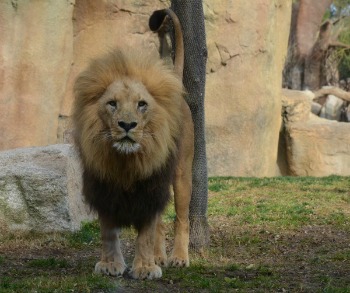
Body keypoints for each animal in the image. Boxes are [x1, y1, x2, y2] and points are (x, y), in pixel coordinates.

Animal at [72, 8, 194, 278]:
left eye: (142, 104)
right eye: (112, 103)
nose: (127, 125)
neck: (125, 161)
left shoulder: (151, 186)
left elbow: (146, 233)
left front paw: (145, 268)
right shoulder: (103, 186)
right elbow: (108, 232)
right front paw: (110, 264)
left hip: (182, 172)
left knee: (181, 218)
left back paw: (179, 257)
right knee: (161, 224)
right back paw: (159, 256)